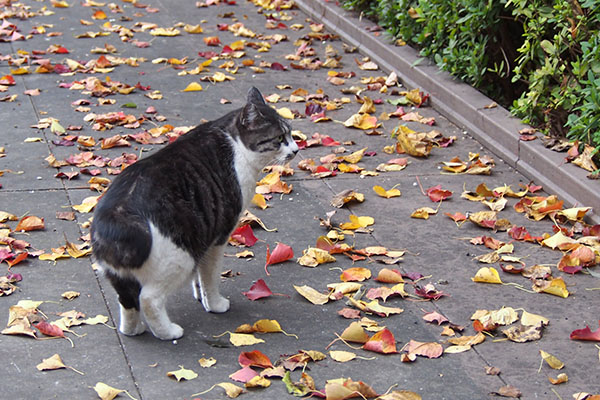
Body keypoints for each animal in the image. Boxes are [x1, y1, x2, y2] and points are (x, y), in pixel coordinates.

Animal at [91, 86, 298, 340]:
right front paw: (215, 304)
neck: (235, 144)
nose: (296, 150)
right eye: (279, 138)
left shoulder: (205, 236)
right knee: (148, 299)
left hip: (120, 276)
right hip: (180, 257)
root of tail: (116, 216)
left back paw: (134, 330)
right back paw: (169, 332)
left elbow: (200, 276)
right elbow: (210, 276)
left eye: (291, 134)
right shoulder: (218, 236)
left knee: (128, 302)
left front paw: (200, 296)